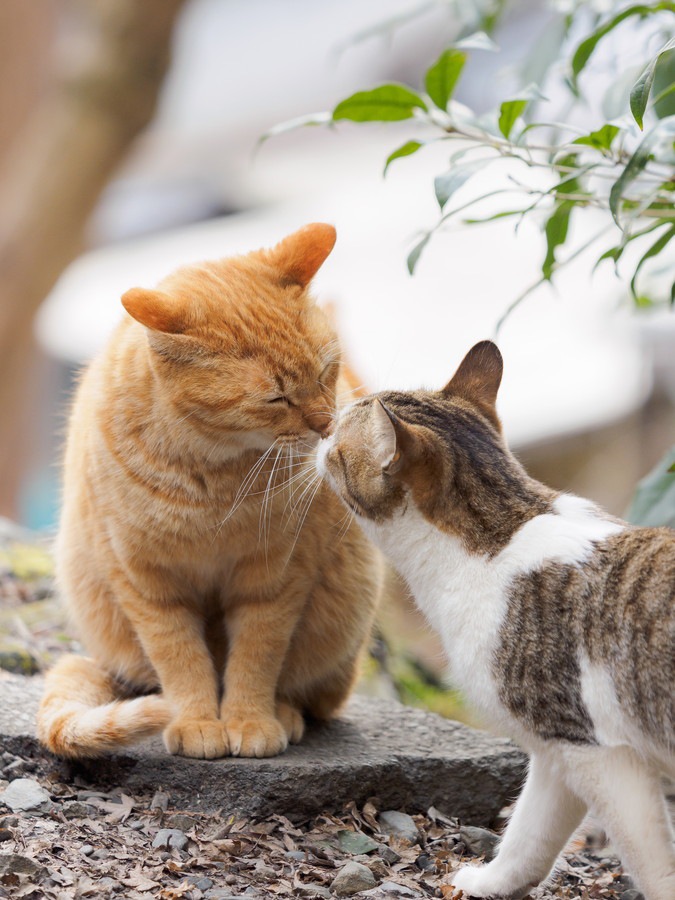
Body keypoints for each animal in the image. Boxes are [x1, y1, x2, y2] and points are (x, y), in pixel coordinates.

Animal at [37, 223, 382, 760]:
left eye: (327, 372)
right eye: (277, 398)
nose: (327, 426)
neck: (213, 479)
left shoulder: (275, 580)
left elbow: (257, 657)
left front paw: (249, 720)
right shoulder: (147, 585)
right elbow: (180, 660)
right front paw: (197, 720)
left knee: (311, 697)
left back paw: (284, 713)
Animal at [316, 342, 675, 900]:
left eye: (336, 444)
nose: (318, 436)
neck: (502, 529)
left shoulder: (595, 750)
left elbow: (652, 863)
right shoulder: (557, 752)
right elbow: (530, 835)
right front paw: (491, 882)